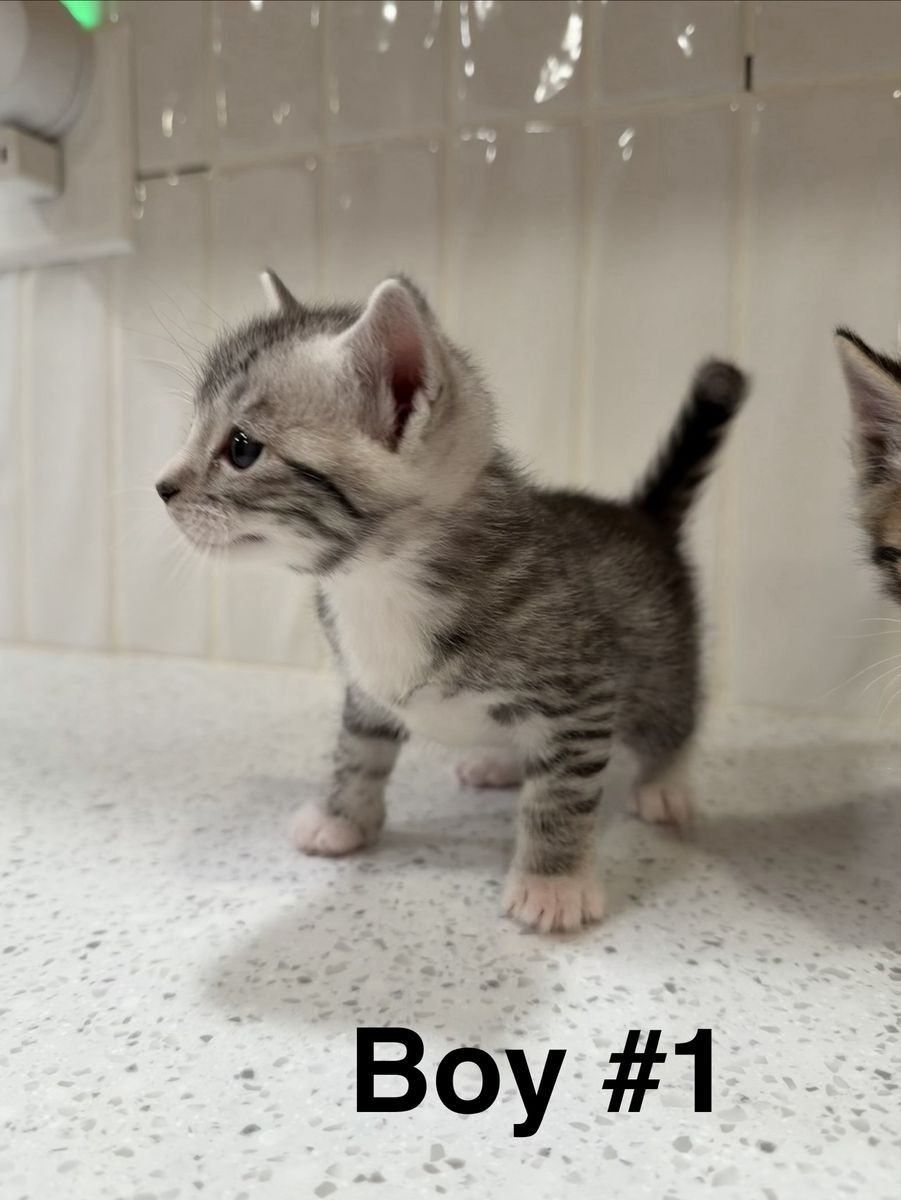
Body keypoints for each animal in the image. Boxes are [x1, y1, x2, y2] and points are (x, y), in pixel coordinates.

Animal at [156, 272, 747, 932]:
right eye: (192, 427)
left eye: (241, 449)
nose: (161, 487)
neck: (374, 580)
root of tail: (640, 516)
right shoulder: (366, 689)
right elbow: (357, 751)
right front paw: (343, 818)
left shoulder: (584, 692)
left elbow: (561, 794)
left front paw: (553, 883)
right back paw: (502, 762)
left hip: (660, 661)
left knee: (671, 719)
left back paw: (664, 783)